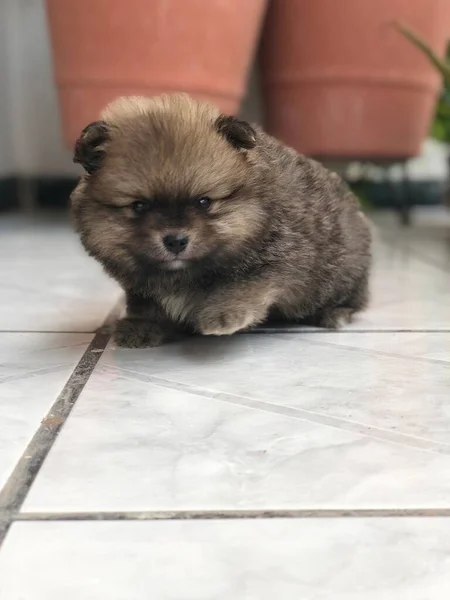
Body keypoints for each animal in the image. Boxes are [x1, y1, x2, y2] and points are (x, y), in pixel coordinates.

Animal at [71, 94, 372, 346]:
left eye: (204, 202)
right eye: (139, 206)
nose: (176, 241)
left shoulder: (278, 262)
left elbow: (243, 285)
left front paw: (223, 313)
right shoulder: (140, 284)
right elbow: (147, 304)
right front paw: (143, 326)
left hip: (345, 271)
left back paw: (335, 313)